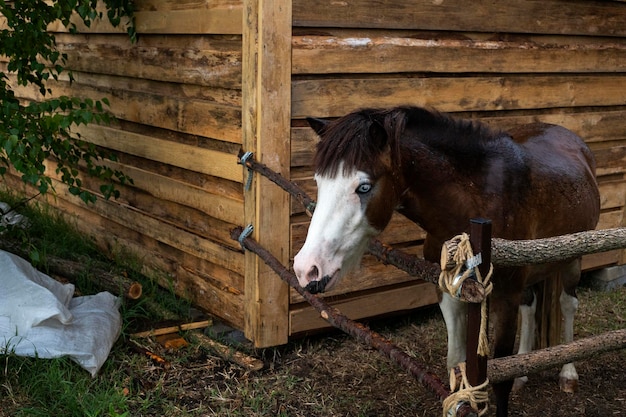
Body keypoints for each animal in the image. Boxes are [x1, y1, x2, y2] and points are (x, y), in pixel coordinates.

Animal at [292, 106, 600, 416]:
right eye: (319, 182)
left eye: (364, 187)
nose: (306, 269)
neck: (478, 202)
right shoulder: (449, 291)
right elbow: (455, 362)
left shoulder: (505, 298)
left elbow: (499, 380)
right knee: (531, 306)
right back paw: (523, 372)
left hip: (572, 256)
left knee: (568, 304)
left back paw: (568, 373)